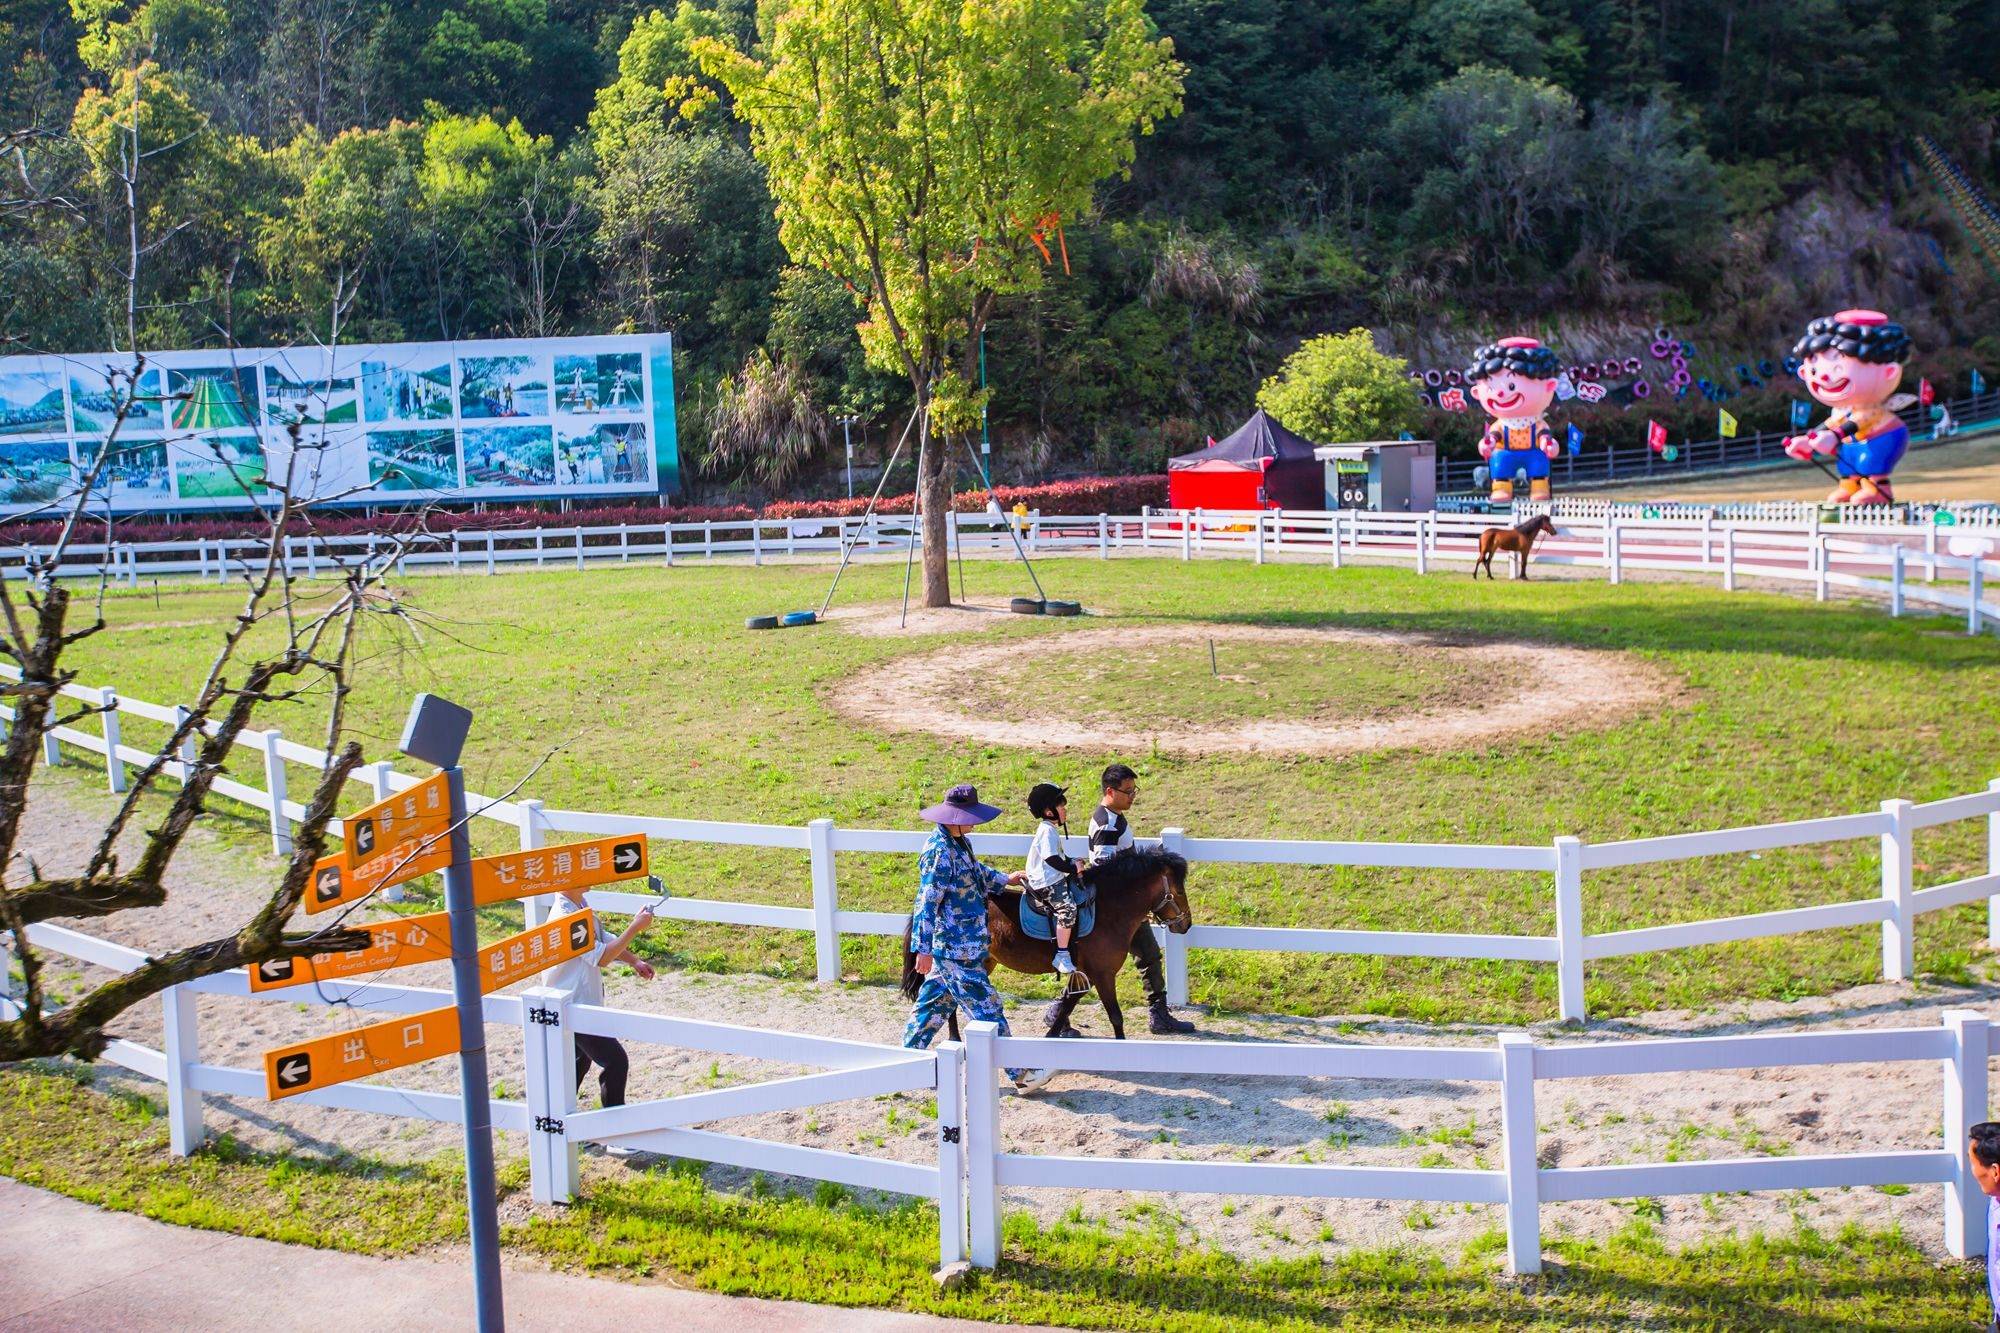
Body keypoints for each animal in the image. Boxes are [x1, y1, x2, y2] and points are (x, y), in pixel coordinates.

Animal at [904, 852, 1192, 1040]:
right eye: (1178, 892)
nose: (1186, 924)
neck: (1108, 911)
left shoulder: (1086, 974)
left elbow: (1067, 1006)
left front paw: (1051, 1036)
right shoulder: (1103, 974)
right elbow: (1115, 1016)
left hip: (983, 962)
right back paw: (954, 1038)